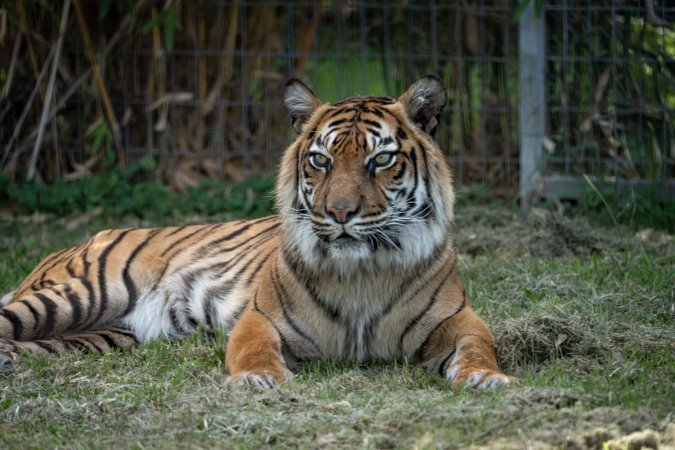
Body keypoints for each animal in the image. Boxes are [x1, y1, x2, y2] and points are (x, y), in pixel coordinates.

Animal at [0, 76, 513, 389]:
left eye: (381, 159)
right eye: (321, 160)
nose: (339, 212)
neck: (362, 273)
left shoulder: (458, 319)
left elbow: (479, 345)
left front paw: (486, 377)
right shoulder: (260, 318)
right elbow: (254, 349)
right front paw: (259, 380)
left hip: (102, 335)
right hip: (77, 295)